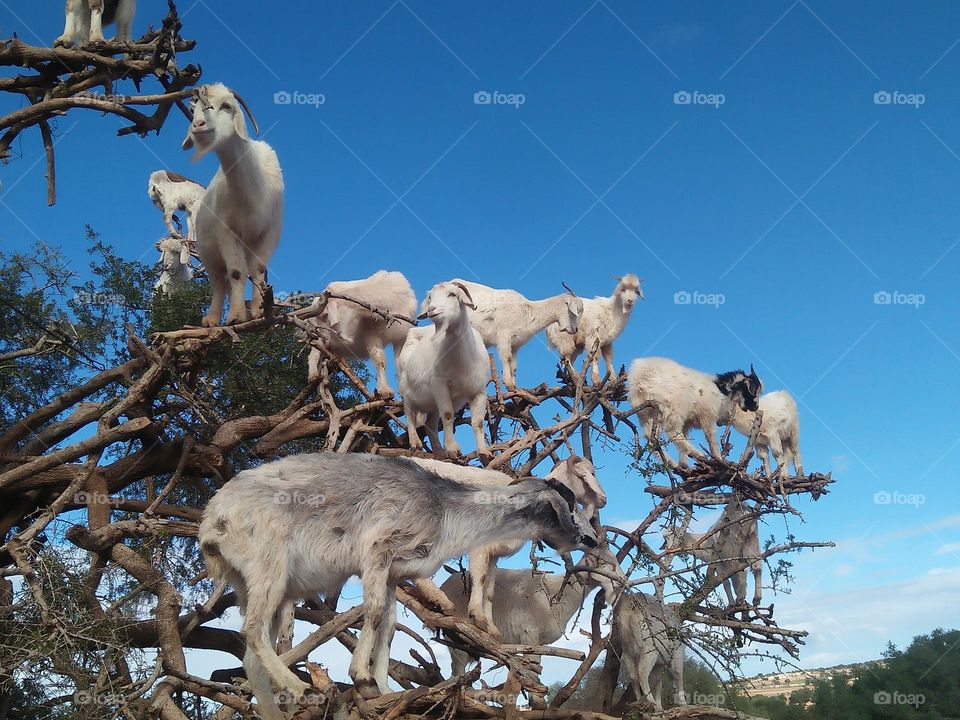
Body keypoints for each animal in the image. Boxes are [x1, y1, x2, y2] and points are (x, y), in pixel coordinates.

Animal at [182, 83, 284, 327]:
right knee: (219, 282)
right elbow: (237, 272)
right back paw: (211, 319)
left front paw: (258, 311)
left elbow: (259, 269)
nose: (198, 125)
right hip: (208, 253)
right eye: (193, 109)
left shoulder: (269, 232)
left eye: (226, 106)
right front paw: (236, 317)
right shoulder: (227, 231)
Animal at [397, 282, 489, 459]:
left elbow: (479, 422)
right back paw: (415, 443)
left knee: (430, 423)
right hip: (406, 391)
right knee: (410, 415)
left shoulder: (479, 390)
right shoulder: (440, 385)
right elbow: (447, 415)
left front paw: (484, 452)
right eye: (430, 297)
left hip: (432, 404)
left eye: (452, 294)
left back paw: (439, 452)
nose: (432, 309)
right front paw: (453, 449)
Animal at [406, 455, 607, 638]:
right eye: (592, 473)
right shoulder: (480, 546)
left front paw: (491, 628)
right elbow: (479, 578)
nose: (604, 499)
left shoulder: (494, 555)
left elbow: (490, 590)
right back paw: (440, 599)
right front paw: (477, 616)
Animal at [450, 279, 583, 388]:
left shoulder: (515, 345)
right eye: (575, 311)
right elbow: (506, 358)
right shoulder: (504, 337)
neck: (526, 311)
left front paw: (514, 386)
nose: (575, 329)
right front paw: (508, 383)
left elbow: (513, 365)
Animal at [627, 357, 762, 466]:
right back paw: (699, 455)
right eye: (754, 392)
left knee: (651, 439)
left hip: (646, 413)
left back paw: (672, 463)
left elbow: (685, 439)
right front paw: (718, 459)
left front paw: (684, 464)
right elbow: (712, 440)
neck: (721, 389)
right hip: (674, 408)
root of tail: (641, 376)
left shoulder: (687, 424)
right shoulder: (708, 416)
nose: (756, 408)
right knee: (672, 433)